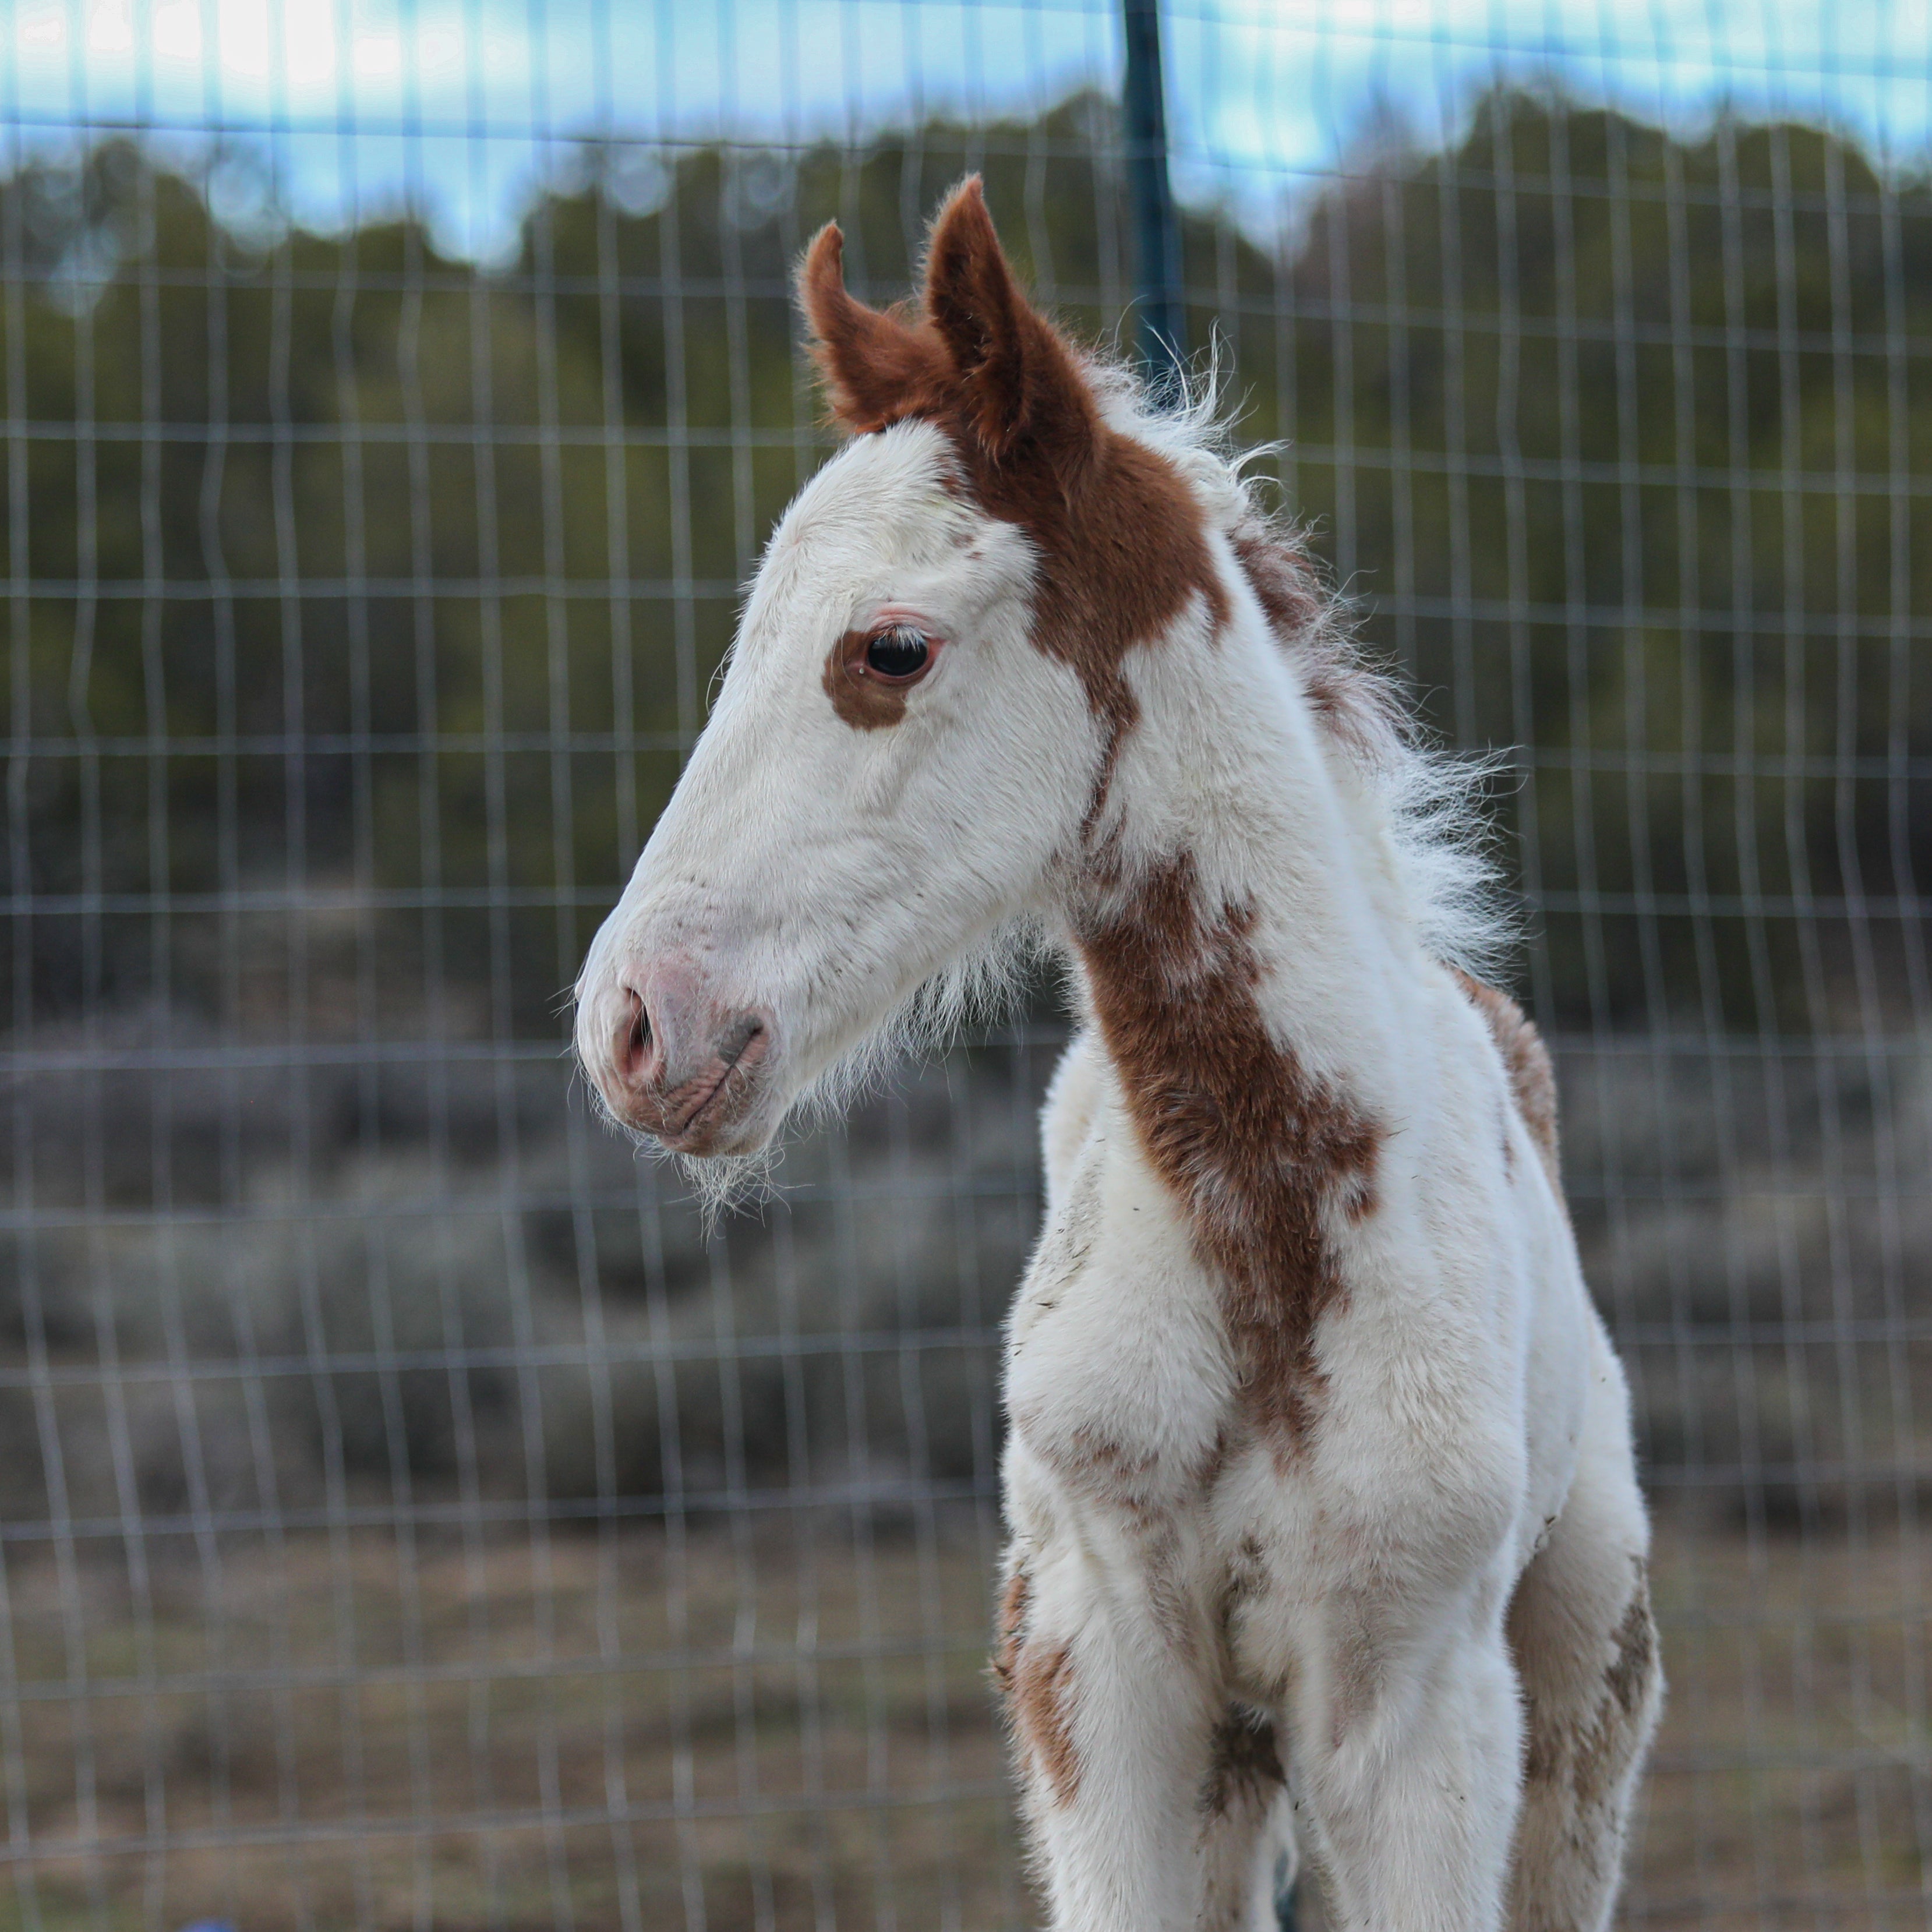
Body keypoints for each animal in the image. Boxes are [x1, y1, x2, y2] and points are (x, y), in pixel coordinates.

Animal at [571, 181, 1661, 1932]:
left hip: (1583, 1675)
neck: (1271, 1215)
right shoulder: (1096, 1680)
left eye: (888, 650)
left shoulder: (1419, 1706)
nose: (636, 1021)